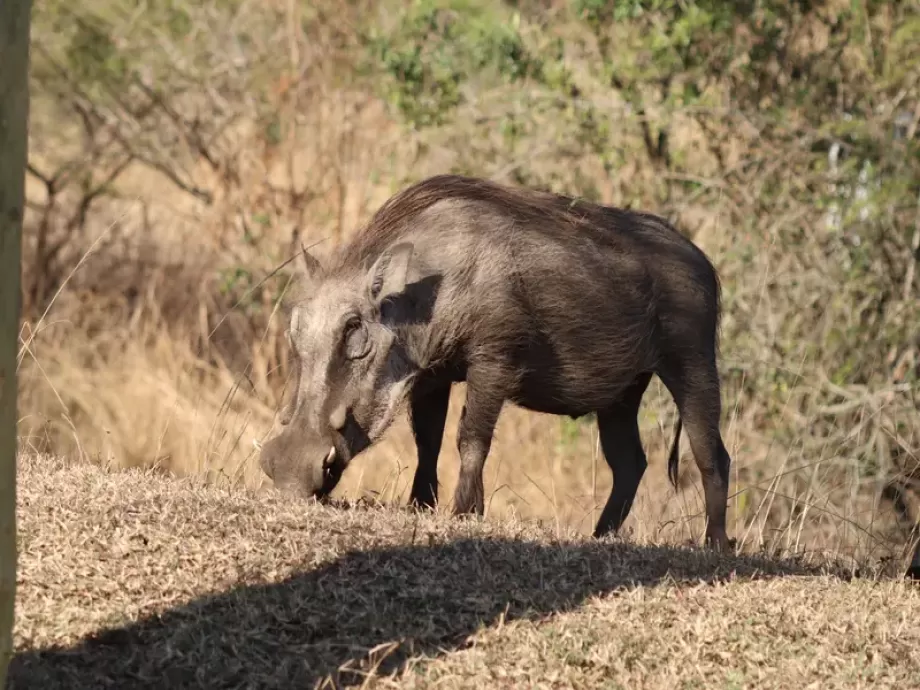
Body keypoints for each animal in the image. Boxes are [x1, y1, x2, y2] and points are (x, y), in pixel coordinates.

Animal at [258, 174, 733, 550]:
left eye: (354, 328)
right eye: (295, 326)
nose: (289, 476)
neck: (430, 288)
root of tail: (703, 259)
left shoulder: (494, 360)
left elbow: (471, 438)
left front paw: (464, 514)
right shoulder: (431, 375)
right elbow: (427, 441)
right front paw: (418, 509)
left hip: (692, 361)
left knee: (711, 453)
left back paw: (715, 545)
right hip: (622, 393)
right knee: (629, 462)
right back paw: (599, 538)